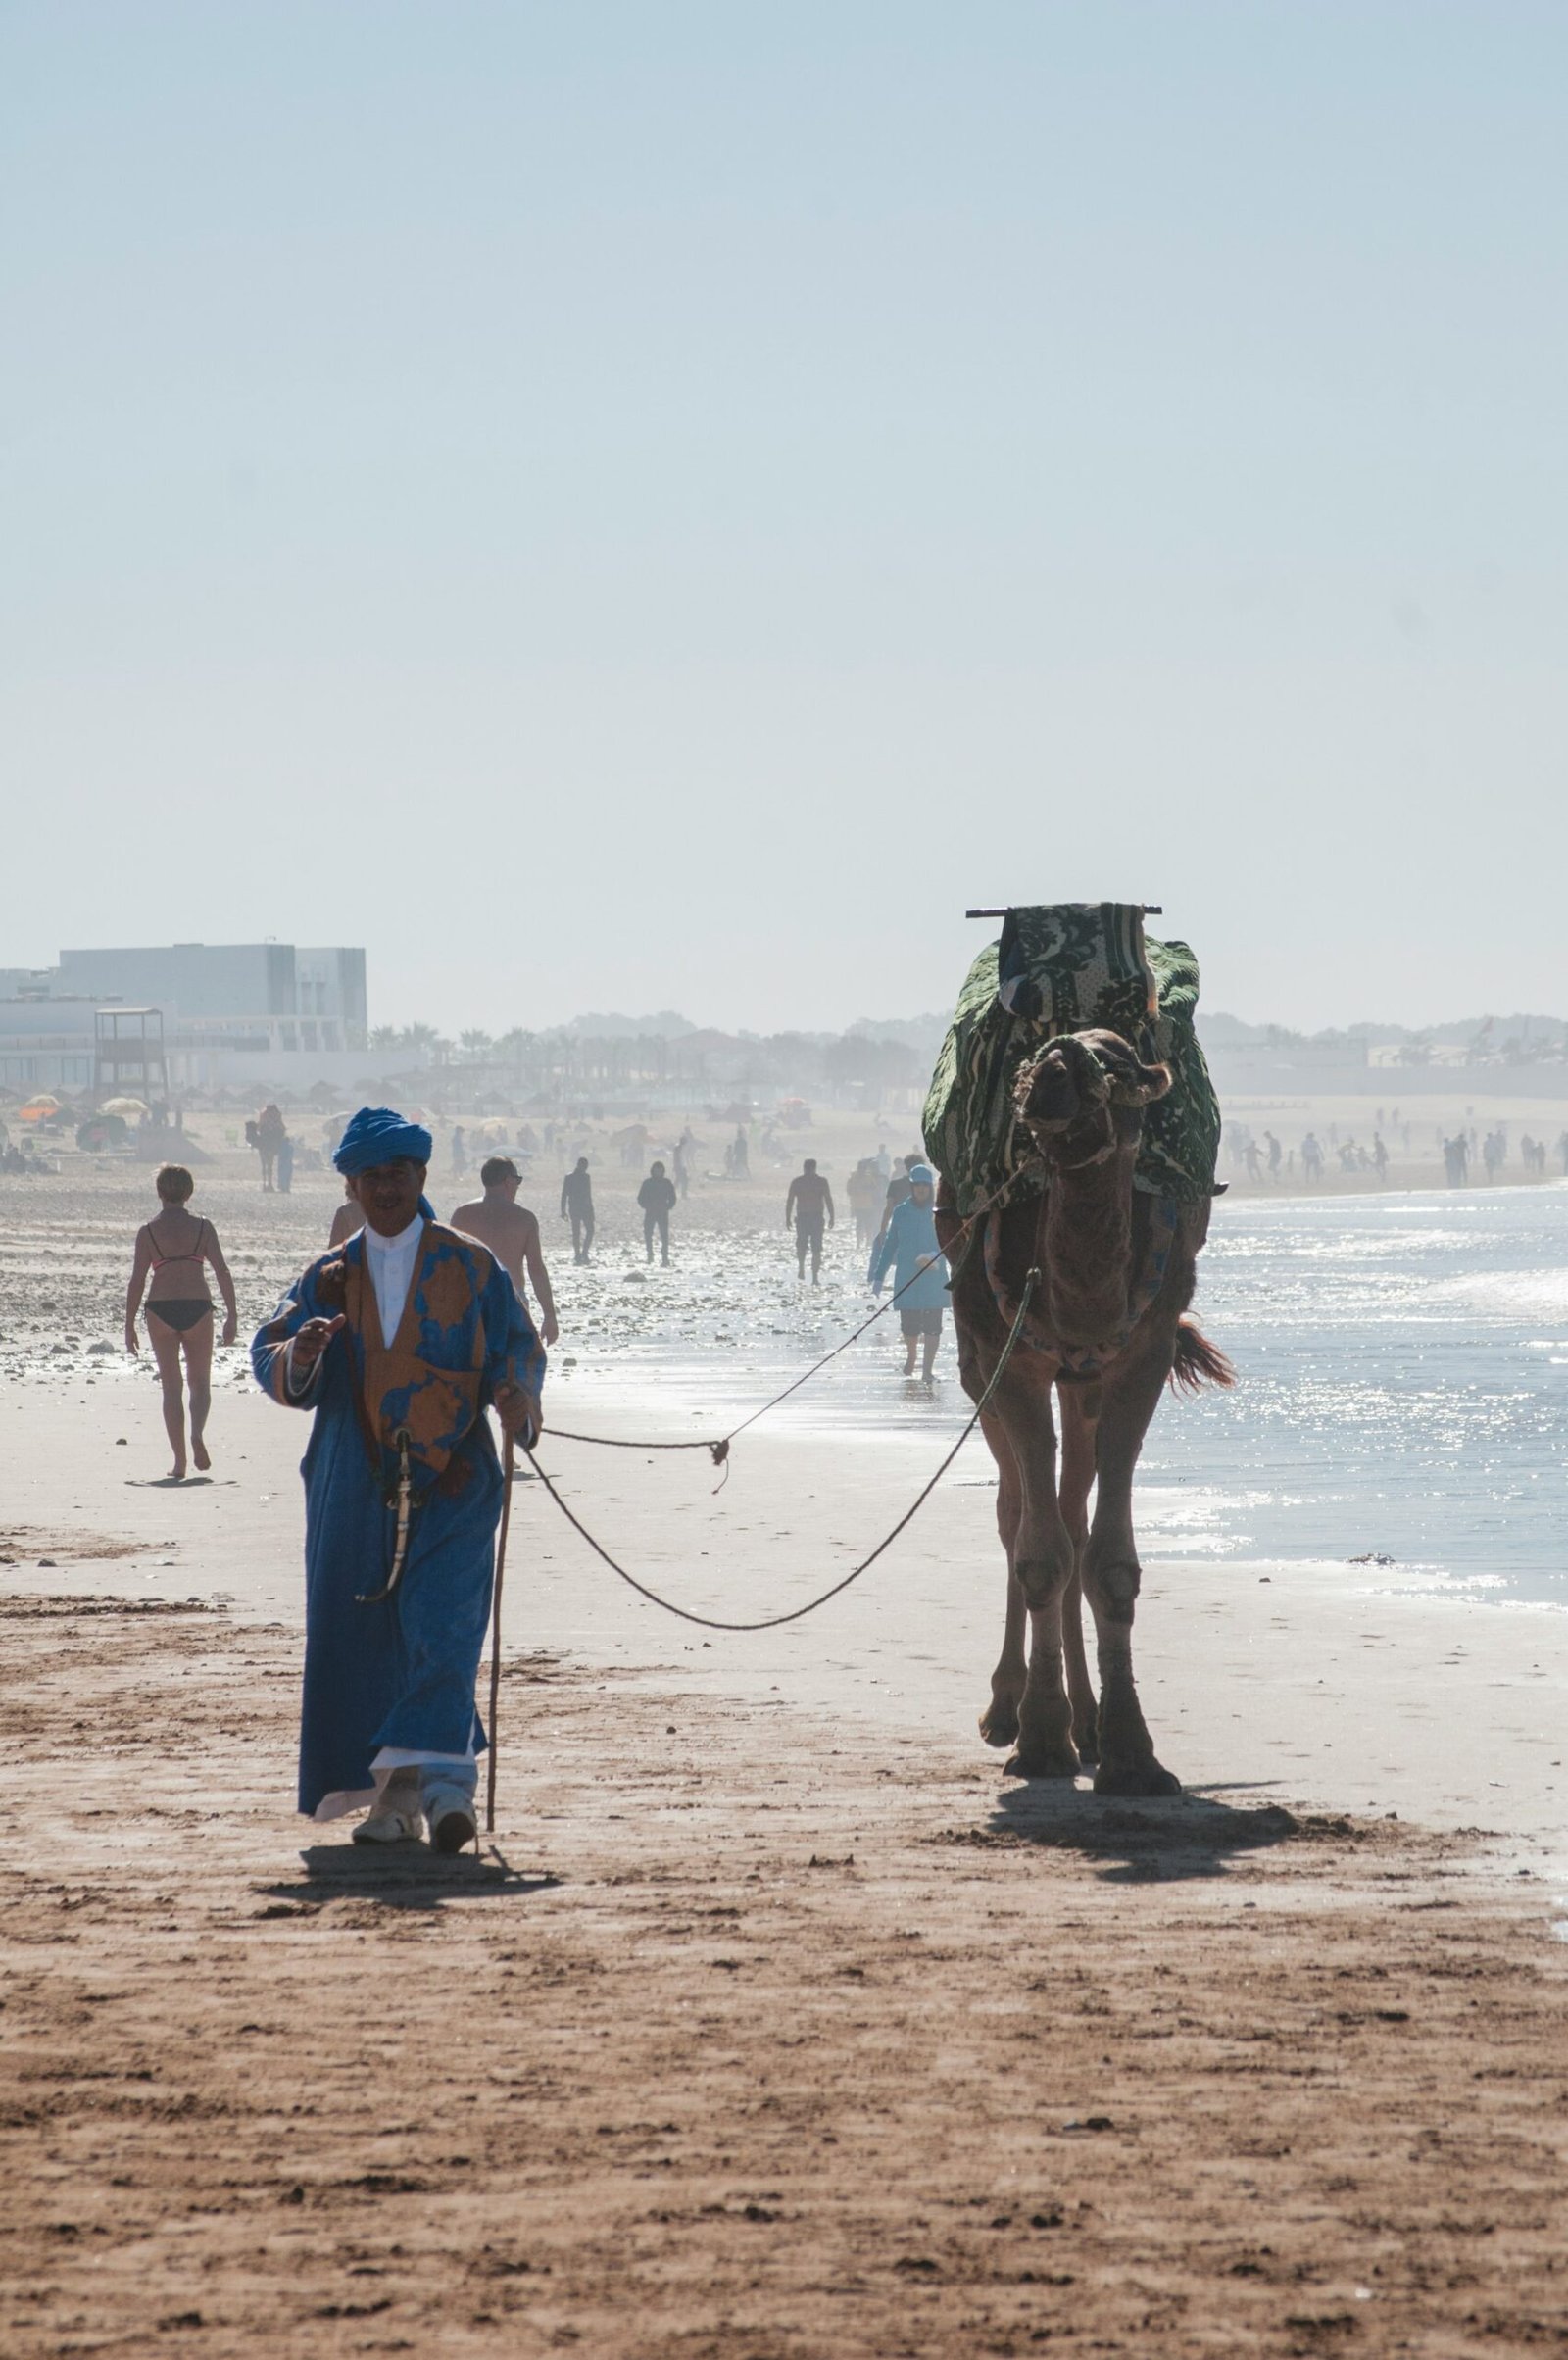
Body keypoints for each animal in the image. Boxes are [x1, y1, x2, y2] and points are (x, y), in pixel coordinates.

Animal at [935, 1028, 1228, 1784]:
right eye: (1038, 1058)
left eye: (1116, 1063)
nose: (1047, 1079)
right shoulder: (1011, 1362)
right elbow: (1039, 1552)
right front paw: (1041, 1739)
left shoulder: (1140, 1358)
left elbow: (1109, 1562)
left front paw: (1131, 1750)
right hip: (981, 1372)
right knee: (1017, 1515)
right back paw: (1008, 1709)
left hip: (1083, 1383)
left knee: (1070, 1512)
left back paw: (1088, 1721)